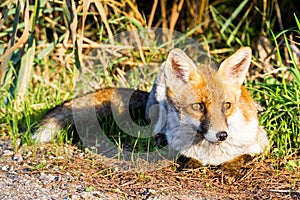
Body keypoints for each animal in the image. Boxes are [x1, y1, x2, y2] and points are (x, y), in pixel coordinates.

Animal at [33, 47, 270, 166]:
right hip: (159, 99)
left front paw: (232, 167)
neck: (210, 153)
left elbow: (243, 157)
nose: (222, 135)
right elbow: (183, 155)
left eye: (227, 105)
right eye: (198, 106)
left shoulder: (260, 142)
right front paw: (191, 162)